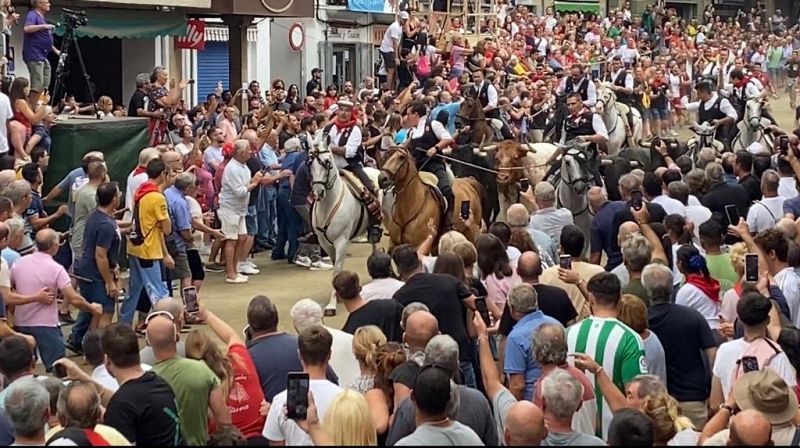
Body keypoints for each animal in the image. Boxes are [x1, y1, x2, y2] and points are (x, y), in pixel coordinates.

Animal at [308, 140, 380, 316]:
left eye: (327, 161)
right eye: (310, 163)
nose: (318, 192)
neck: (328, 205)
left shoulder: (341, 241)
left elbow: (336, 270)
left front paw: (331, 305)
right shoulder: (325, 243)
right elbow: (336, 268)